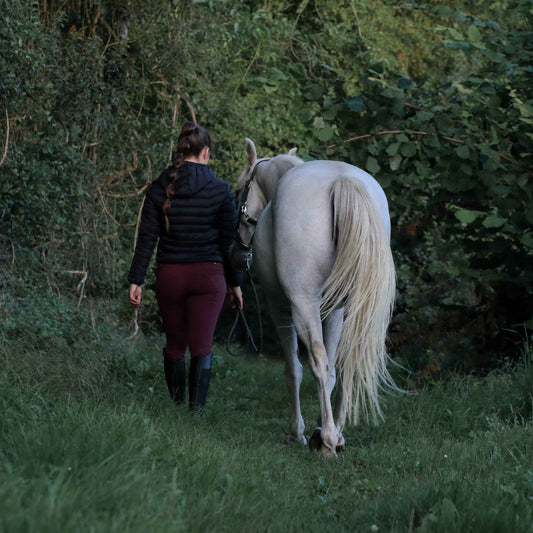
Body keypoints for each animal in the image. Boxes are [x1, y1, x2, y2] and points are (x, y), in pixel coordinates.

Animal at [231, 139, 396, 456]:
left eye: (238, 190)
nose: (238, 248)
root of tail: (344, 180)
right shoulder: (334, 312)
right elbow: (331, 371)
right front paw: (320, 427)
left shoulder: (280, 306)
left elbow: (294, 369)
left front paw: (299, 432)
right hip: (350, 308)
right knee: (346, 363)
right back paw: (337, 432)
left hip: (302, 305)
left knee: (316, 361)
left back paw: (329, 441)